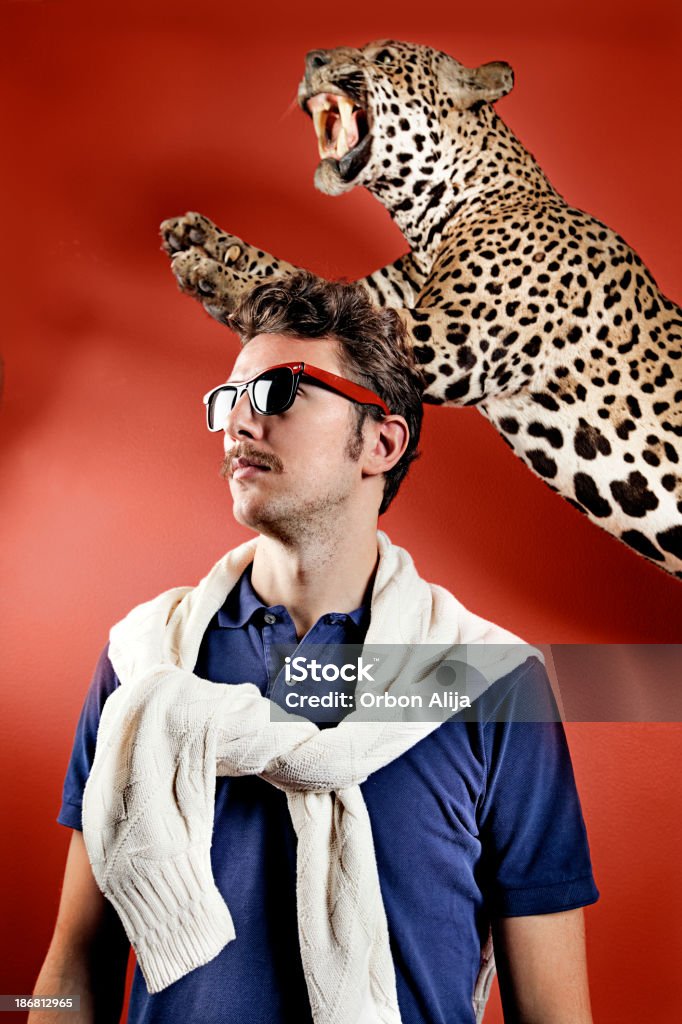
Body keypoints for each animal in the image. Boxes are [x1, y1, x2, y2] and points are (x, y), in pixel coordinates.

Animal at [161, 39, 679, 581]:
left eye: (385, 57)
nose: (312, 59)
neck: (433, 222)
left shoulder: (455, 337)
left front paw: (208, 270)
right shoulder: (374, 300)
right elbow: (293, 278)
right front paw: (204, 236)